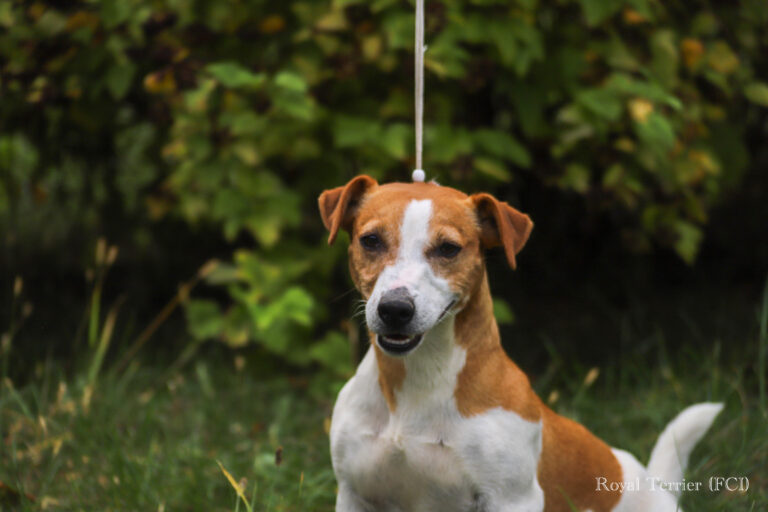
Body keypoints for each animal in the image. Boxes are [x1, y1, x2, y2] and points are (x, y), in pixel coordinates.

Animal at [316, 174, 720, 510]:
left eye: (448, 248)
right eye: (370, 240)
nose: (395, 309)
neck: (420, 381)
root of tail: (655, 485)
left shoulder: (513, 498)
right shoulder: (353, 493)